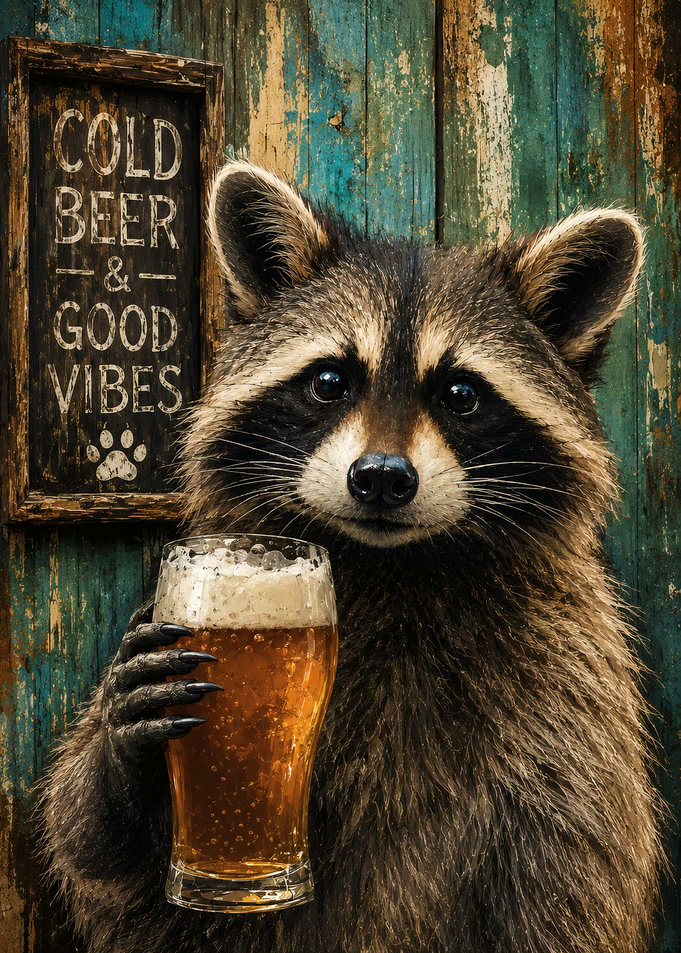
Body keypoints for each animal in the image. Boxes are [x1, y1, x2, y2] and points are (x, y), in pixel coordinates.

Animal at [41, 160, 663, 953]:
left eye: (460, 393)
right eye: (330, 380)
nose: (382, 477)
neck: (396, 565)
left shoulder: (573, 703)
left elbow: (578, 883)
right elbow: (98, 860)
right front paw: (121, 759)